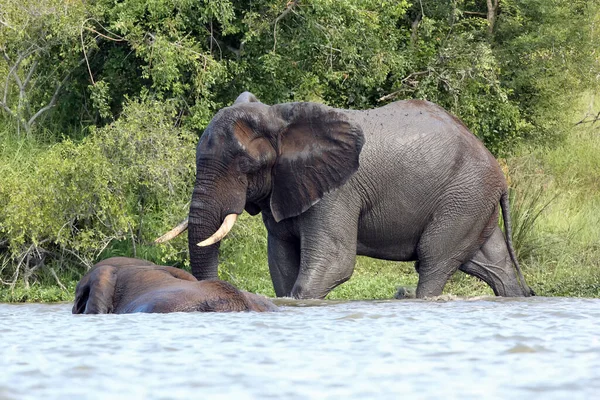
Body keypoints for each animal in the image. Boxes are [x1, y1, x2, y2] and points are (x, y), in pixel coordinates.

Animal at [156, 93, 536, 300]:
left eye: (247, 165)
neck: (281, 118)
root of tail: (499, 172)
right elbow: (281, 261)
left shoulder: (338, 191)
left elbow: (333, 262)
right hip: (472, 200)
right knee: (492, 265)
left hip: (462, 196)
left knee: (433, 261)